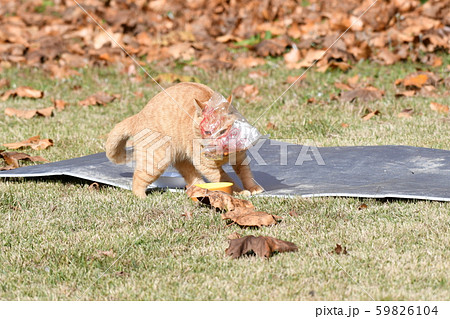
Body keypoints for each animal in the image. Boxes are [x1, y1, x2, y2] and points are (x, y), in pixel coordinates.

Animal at [105, 82, 264, 198]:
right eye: (207, 131)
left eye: (222, 131)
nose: (211, 143)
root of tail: (139, 115)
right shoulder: (207, 166)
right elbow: (227, 179)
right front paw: (239, 191)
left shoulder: (241, 158)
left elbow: (246, 174)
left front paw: (253, 188)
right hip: (156, 161)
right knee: (138, 178)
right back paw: (141, 197)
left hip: (182, 160)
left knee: (193, 178)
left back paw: (199, 190)